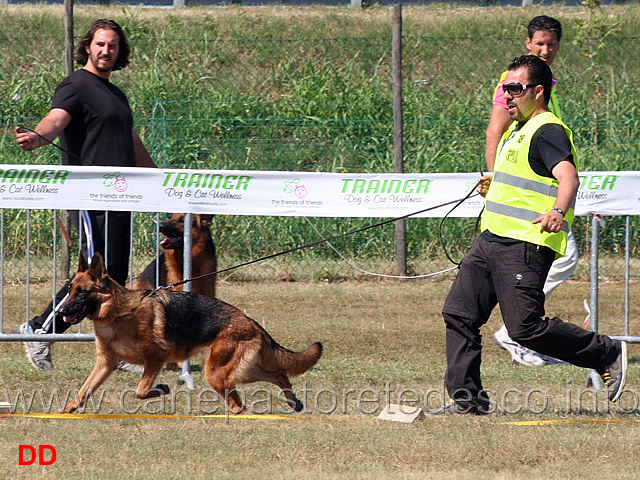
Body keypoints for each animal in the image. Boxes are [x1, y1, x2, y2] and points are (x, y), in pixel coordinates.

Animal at [57, 253, 322, 414]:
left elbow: (141, 391)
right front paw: (67, 411)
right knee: (279, 374)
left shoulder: (156, 357)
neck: (120, 313)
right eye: (69, 290)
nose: (59, 311)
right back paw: (294, 402)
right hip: (238, 371)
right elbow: (84, 390)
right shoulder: (106, 363)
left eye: (81, 292)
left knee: (240, 405)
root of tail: (252, 322)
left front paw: (161, 389)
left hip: (218, 373)